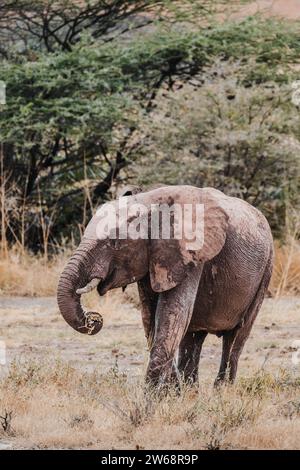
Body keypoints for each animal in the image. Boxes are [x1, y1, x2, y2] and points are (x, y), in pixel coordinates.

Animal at [56, 185, 274, 388]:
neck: (149, 202)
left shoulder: (191, 253)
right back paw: (191, 391)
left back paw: (221, 391)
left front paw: (151, 398)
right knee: (193, 336)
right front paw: (173, 392)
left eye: (114, 242)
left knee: (236, 336)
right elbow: (152, 318)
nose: (94, 317)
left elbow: (173, 315)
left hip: (266, 271)